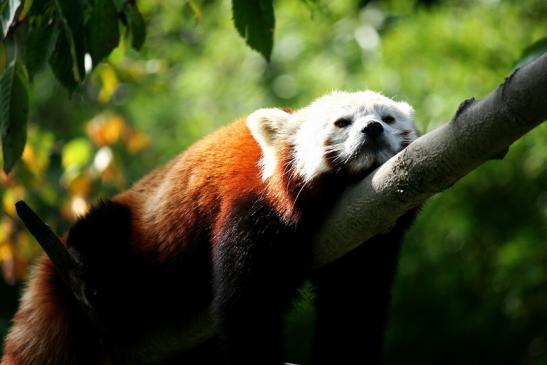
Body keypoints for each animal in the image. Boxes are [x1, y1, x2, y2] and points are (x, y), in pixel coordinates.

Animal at [1, 91, 420, 364]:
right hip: (119, 235)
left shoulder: (364, 232)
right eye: (342, 122)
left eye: (389, 119)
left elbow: (353, 303)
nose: (372, 129)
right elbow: (247, 305)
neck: (342, 197)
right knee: (101, 229)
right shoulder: (253, 208)